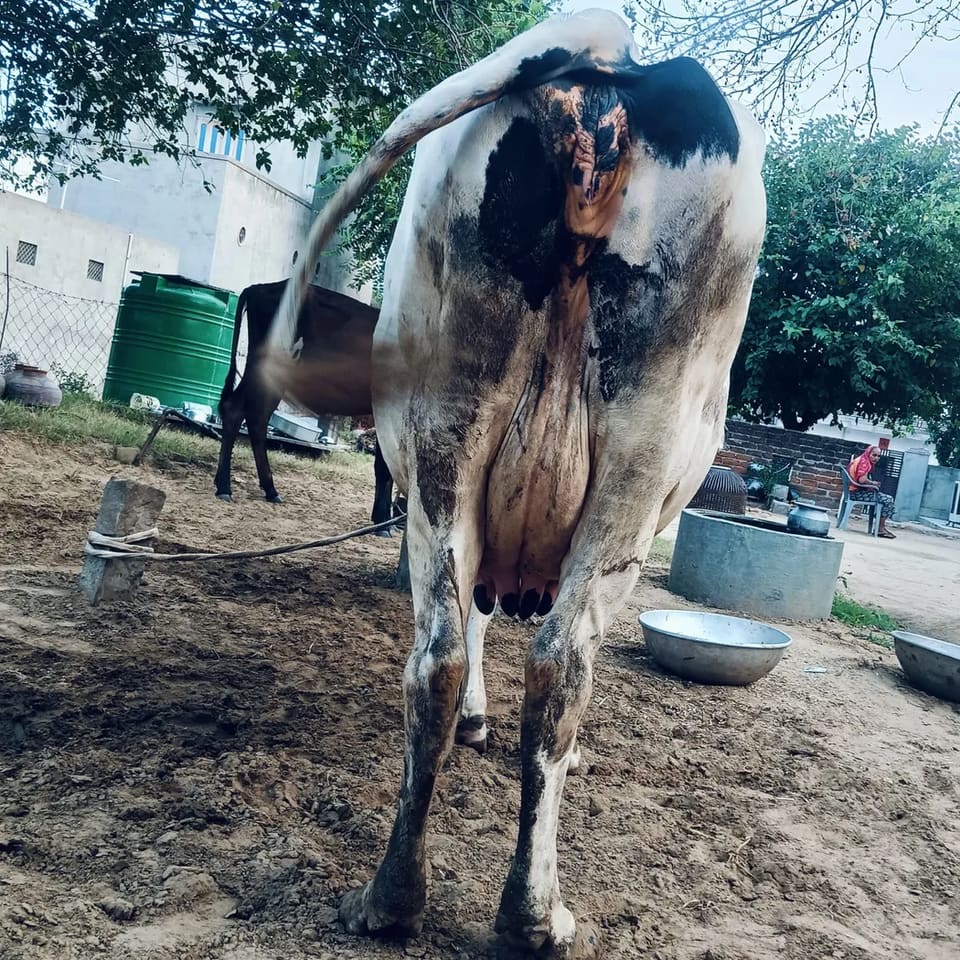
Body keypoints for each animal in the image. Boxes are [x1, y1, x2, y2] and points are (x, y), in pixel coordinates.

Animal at [214, 280, 396, 532]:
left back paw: (270, 489)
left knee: (257, 417)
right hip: (263, 366)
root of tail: (260, 287)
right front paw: (383, 521)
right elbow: (385, 466)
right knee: (236, 409)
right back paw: (224, 487)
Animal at [262, 10, 766, 957]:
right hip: (634, 466)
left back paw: (394, 898)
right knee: (557, 663)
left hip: (450, 433)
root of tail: (603, 53)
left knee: (444, 657)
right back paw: (534, 916)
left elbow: (473, 621)